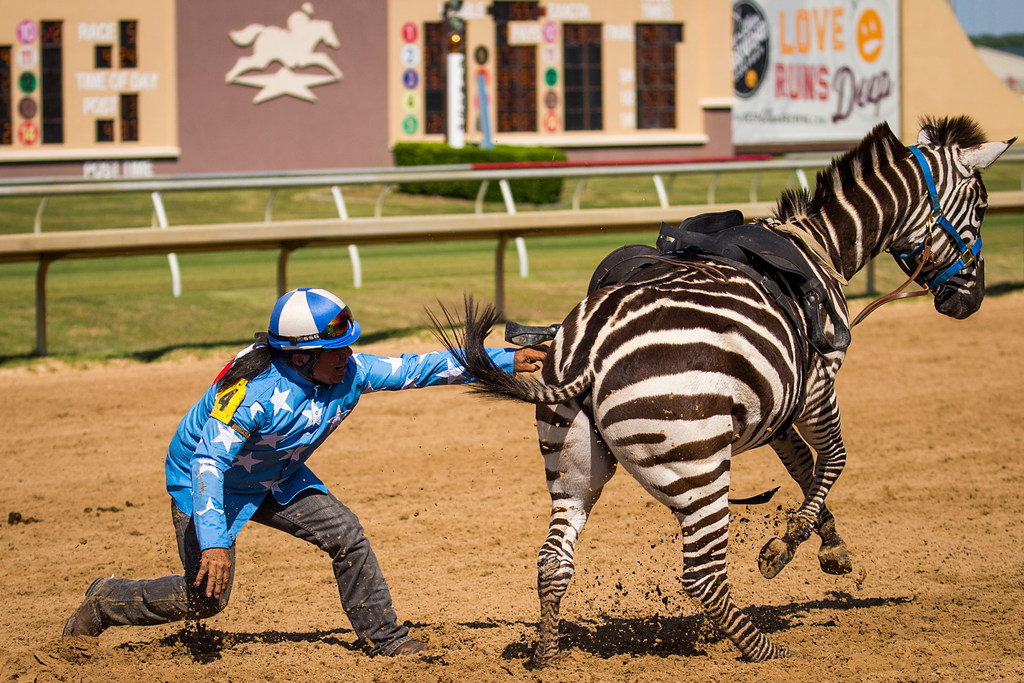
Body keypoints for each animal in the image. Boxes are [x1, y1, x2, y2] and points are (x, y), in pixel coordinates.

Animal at [431, 116, 1014, 663]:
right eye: (982, 207)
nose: (972, 301)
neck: (817, 250)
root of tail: (590, 354)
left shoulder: (778, 406)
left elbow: (804, 467)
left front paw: (827, 545)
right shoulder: (817, 386)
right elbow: (834, 461)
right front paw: (789, 543)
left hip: (573, 464)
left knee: (553, 562)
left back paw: (549, 656)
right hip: (699, 467)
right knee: (703, 576)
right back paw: (768, 653)